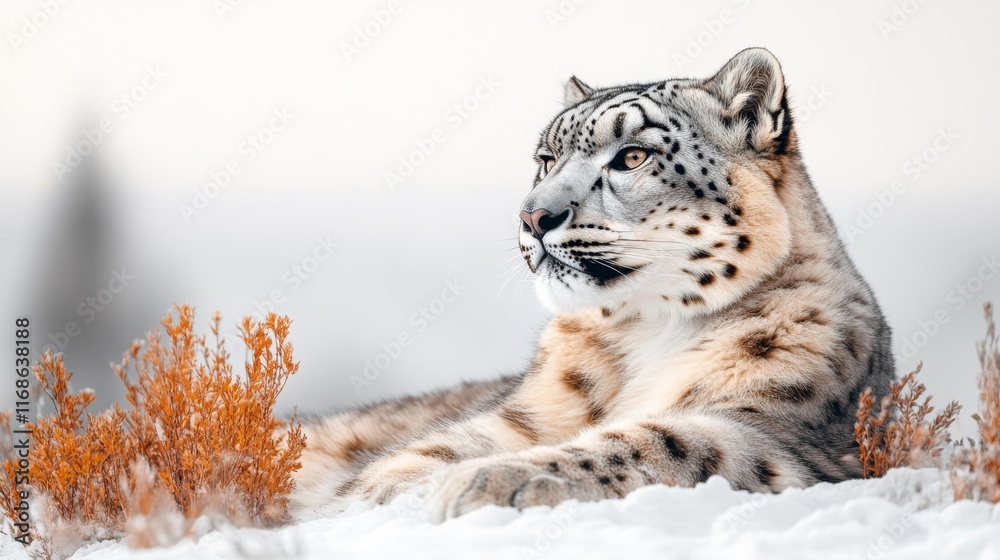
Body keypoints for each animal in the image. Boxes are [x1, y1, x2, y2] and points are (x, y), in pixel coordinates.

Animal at [288, 48, 894, 522]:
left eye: (633, 156)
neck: (648, 331)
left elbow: (660, 441)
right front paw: (403, 488)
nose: (532, 217)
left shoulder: (768, 427)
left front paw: (493, 480)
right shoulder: (517, 418)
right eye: (545, 158)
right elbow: (422, 452)